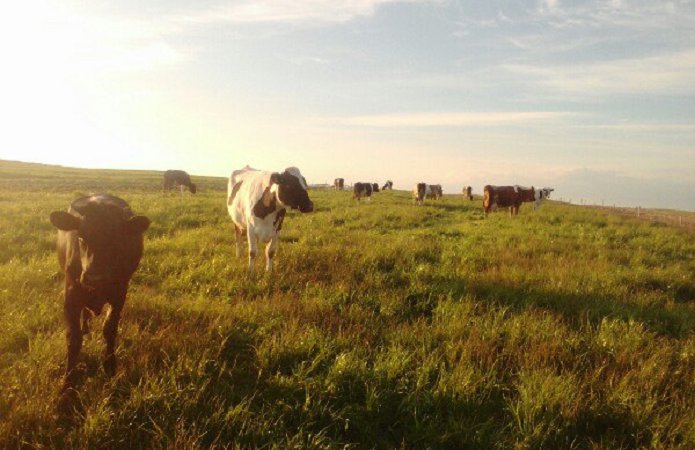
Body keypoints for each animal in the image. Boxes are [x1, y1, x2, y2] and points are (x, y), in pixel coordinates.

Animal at [49, 193, 152, 400]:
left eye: (116, 240)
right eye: (81, 237)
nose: (93, 276)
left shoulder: (120, 294)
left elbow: (109, 329)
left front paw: (110, 366)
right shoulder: (71, 295)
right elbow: (74, 339)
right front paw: (67, 386)